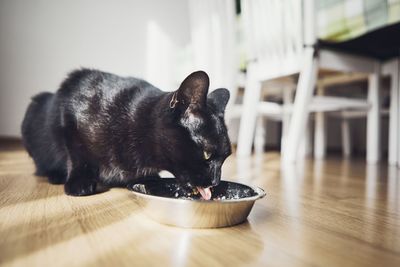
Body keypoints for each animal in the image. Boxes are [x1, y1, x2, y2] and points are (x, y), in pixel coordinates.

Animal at [21, 69, 231, 199]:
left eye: (226, 156)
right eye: (207, 153)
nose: (215, 181)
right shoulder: (70, 114)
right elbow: (77, 154)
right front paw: (79, 183)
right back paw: (55, 174)